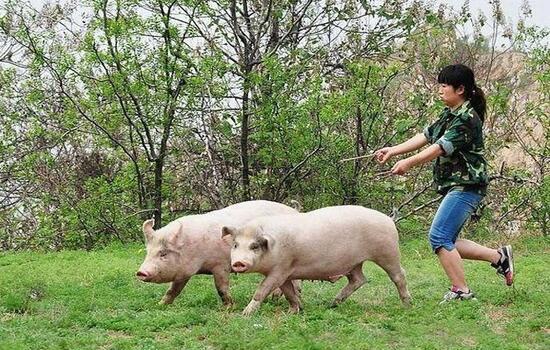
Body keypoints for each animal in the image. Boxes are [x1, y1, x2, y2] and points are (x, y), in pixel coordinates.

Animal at [136, 201, 300, 304]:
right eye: (148, 252)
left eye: (163, 253)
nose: (140, 272)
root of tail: (296, 211)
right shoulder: (183, 272)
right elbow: (173, 290)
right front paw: (160, 304)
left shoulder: (221, 265)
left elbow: (221, 288)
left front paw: (230, 306)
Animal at [222, 206, 412, 316]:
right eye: (235, 244)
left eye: (254, 246)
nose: (238, 263)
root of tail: (388, 219)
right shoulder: (285, 273)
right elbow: (289, 292)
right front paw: (294, 311)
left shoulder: (280, 268)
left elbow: (262, 289)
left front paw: (245, 314)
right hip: (354, 263)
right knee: (359, 280)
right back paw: (333, 304)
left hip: (388, 252)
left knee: (399, 275)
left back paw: (408, 304)